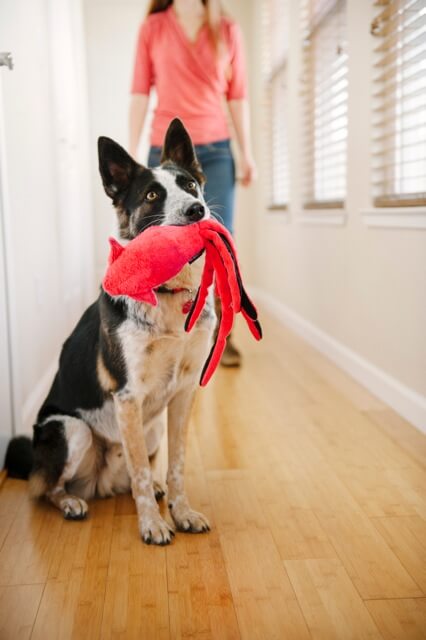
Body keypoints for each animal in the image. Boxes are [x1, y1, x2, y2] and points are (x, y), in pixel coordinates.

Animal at [7, 119, 216, 544]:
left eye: (189, 185)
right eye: (152, 195)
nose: (196, 210)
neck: (166, 293)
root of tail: (100, 484)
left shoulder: (184, 394)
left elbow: (177, 465)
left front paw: (181, 512)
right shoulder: (128, 396)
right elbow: (139, 473)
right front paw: (152, 524)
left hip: (151, 430)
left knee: (138, 473)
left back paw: (155, 491)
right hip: (71, 429)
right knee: (50, 488)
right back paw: (72, 503)